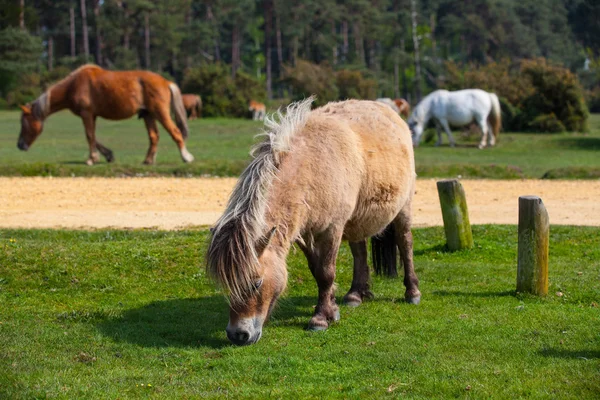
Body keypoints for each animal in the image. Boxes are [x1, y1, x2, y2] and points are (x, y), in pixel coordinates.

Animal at [17, 65, 193, 165]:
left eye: (24, 123)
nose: (20, 145)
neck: (74, 84)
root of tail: (166, 82)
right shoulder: (92, 116)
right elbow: (94, 137)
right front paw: (107, 155)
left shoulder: (86, 114)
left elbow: (89, 136)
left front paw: (92, 159)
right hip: (148, 115)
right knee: (154, 136)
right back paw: (148, 160)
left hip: (160, 113)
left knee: (176, 132)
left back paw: (186, 157)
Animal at [207, 98, 422, 346]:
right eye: (227, 285)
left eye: (256, 283)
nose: (238, 335)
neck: (311, 166)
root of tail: (388, 110)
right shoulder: (303, 234)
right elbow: (316, 270)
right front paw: (332, 308)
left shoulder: (332, 229)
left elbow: (326, 272)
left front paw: (320, 319)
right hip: (356, 219)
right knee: (359, 251)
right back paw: (356, 294)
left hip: (403, 208)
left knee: (405, 243)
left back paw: (412, 292)